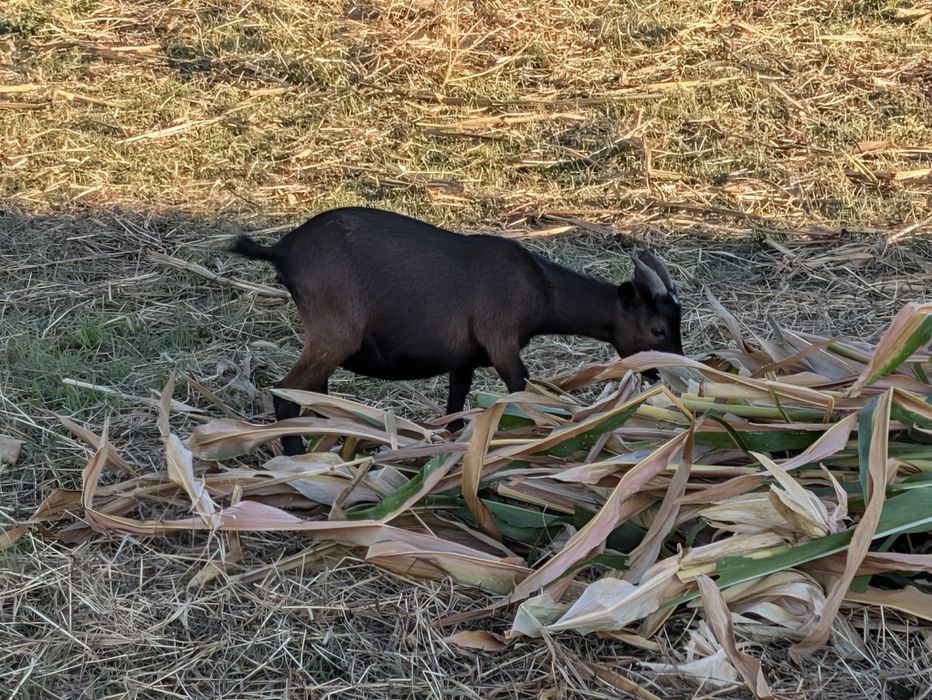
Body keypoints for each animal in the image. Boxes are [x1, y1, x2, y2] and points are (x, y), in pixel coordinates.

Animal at [231, 207, 683, 455]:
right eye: (658, 328)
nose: (669, 372)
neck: (540, 286)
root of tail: (285, 249)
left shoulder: (464, 358)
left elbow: (456, 404)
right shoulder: (502, 344)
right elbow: (520, 390)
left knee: (309, 393)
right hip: (334, 334)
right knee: (285, 394)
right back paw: (297, 457)